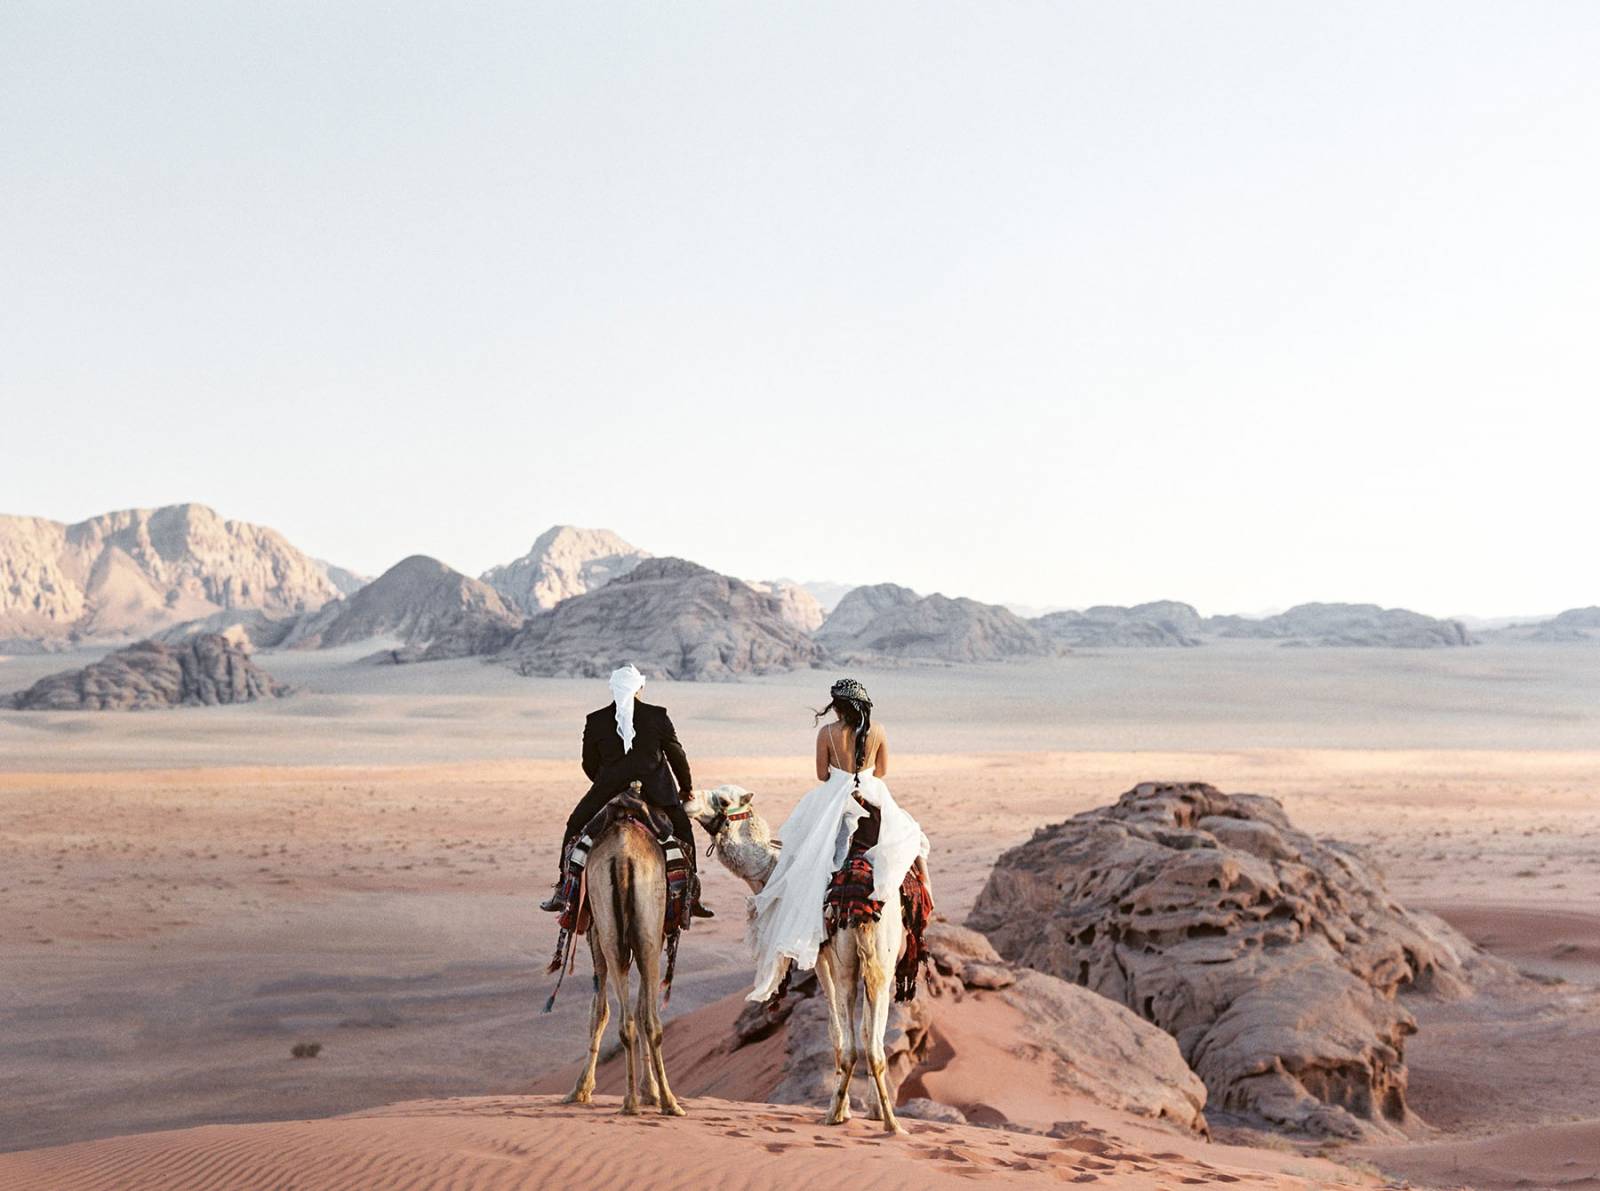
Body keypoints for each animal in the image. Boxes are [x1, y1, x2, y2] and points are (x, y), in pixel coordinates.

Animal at [563, 781, 681, 1114]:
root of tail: (624, 856)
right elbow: (620, 1010)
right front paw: (649, 1091)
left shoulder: (598, 932)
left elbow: (601, 1010)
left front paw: (581, 1089)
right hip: (641, 935)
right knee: (646, 1020)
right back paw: (662, 1101)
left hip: (614, 934)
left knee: (629, 1019)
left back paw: (637, 1101)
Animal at [684, 781, 915, 1133]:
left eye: (723, 799)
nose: (687, 798)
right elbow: (865, 1029)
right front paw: (871, 1110)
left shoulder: (820, 957)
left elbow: (835, 1032)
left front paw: (847, 1108)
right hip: (883, 959)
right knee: (874, 1041)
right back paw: (890, 1122)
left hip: (849, 956)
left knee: (852, 1041)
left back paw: (835, 1114)